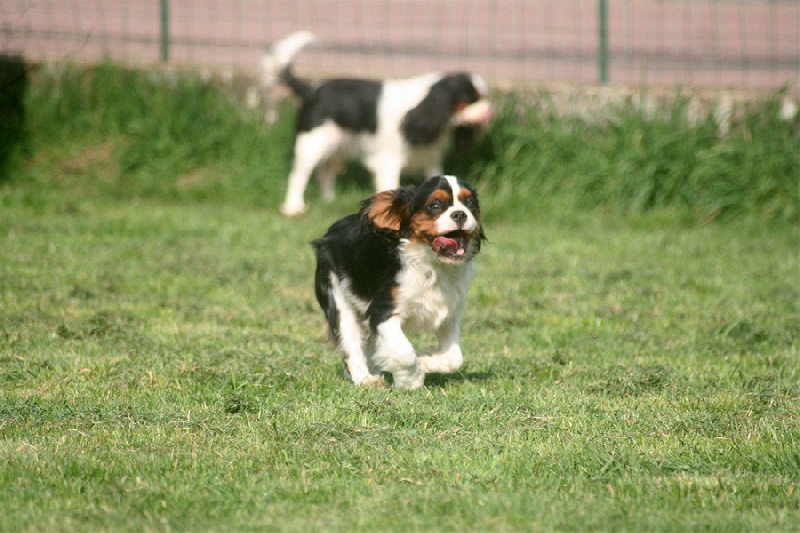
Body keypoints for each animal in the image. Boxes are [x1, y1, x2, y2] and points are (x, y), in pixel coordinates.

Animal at [314, 175, 488, 386]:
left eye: (470, 204)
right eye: (435, 205)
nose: (460, 214)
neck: (432, 265)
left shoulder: (449, 315)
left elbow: (454, 358)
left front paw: (425, 361)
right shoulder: (383, 311)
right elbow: (404, 353)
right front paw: (410, 379)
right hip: (338, 298)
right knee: (351, 344)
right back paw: (365, 379)